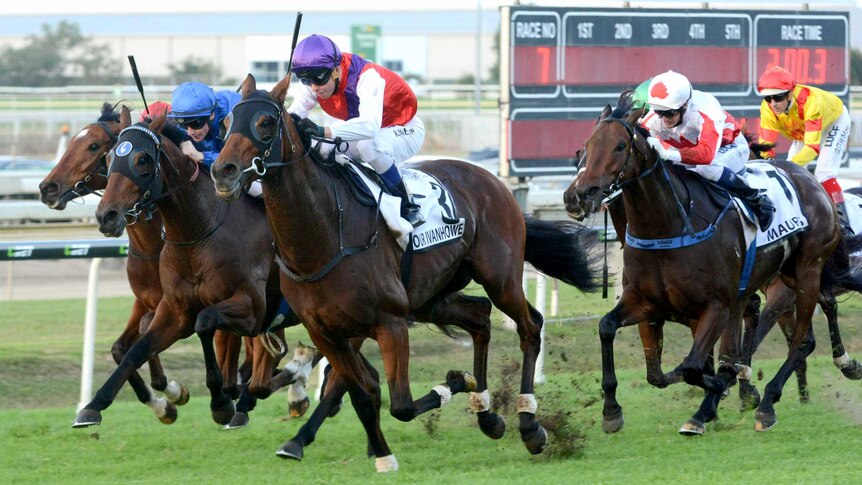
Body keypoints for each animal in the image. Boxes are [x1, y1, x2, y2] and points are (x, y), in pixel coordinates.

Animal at [209, 73, 600, 470]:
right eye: (226, 123)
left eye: (265, 123)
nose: (222, 172)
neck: (325, 236)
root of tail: (494, 182)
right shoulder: (326, 333)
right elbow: (361, 394)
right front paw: (382, 453)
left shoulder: (390, 322)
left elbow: (401, 405)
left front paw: (453, 383)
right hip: (430, 298)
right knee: (480, 318)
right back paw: (487, 412)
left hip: (499, 278)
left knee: (529, 326)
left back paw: (529, 423)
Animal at [564, 93, 852, 432]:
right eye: (585, 147)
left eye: (620, 146)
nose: (578, 195)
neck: (668, 227)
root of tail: (811, 180)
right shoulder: (647, 302)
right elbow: (612, 332)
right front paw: (611, 411)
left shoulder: (717, 304)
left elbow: (697, 366)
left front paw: (725, 391)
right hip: (788, 277)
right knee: (810, 322)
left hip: (807, 271)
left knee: (802, 340)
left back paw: (767, 403)